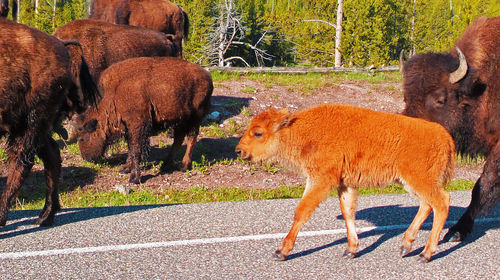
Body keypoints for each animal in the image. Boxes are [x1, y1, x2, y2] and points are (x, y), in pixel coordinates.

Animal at [0, 18, 98, 226]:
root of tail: (61, 46)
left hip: (30, 122)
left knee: (23, 161)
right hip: (33, 124)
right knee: (50, 155)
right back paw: (46, 215)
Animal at [76, 56, 213, 184]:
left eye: (82, 138)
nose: (86, 158)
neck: (115, 94)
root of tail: (208, 77)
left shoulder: (138, 124)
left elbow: (136, 150)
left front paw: (134, 178)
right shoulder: (129, 127)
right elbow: (131, 148)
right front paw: (126, 168)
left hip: (195, 118)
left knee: (191, 138)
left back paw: (184, 166)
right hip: (180, 119)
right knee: (178, 139)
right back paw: (165, 165)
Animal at [236, 104, 456, 262]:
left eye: (258, 133)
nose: (239, 151)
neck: (302, 130)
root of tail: (445, 137)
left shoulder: (321, 180)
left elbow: (301, 211)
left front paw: (281, 252)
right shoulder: (345, 184)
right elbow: (348, 212)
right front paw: (350, 250)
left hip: (419, 180)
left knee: (441, 202)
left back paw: (425, 254)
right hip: (413, 182)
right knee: (427, 205)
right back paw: (405, 247)